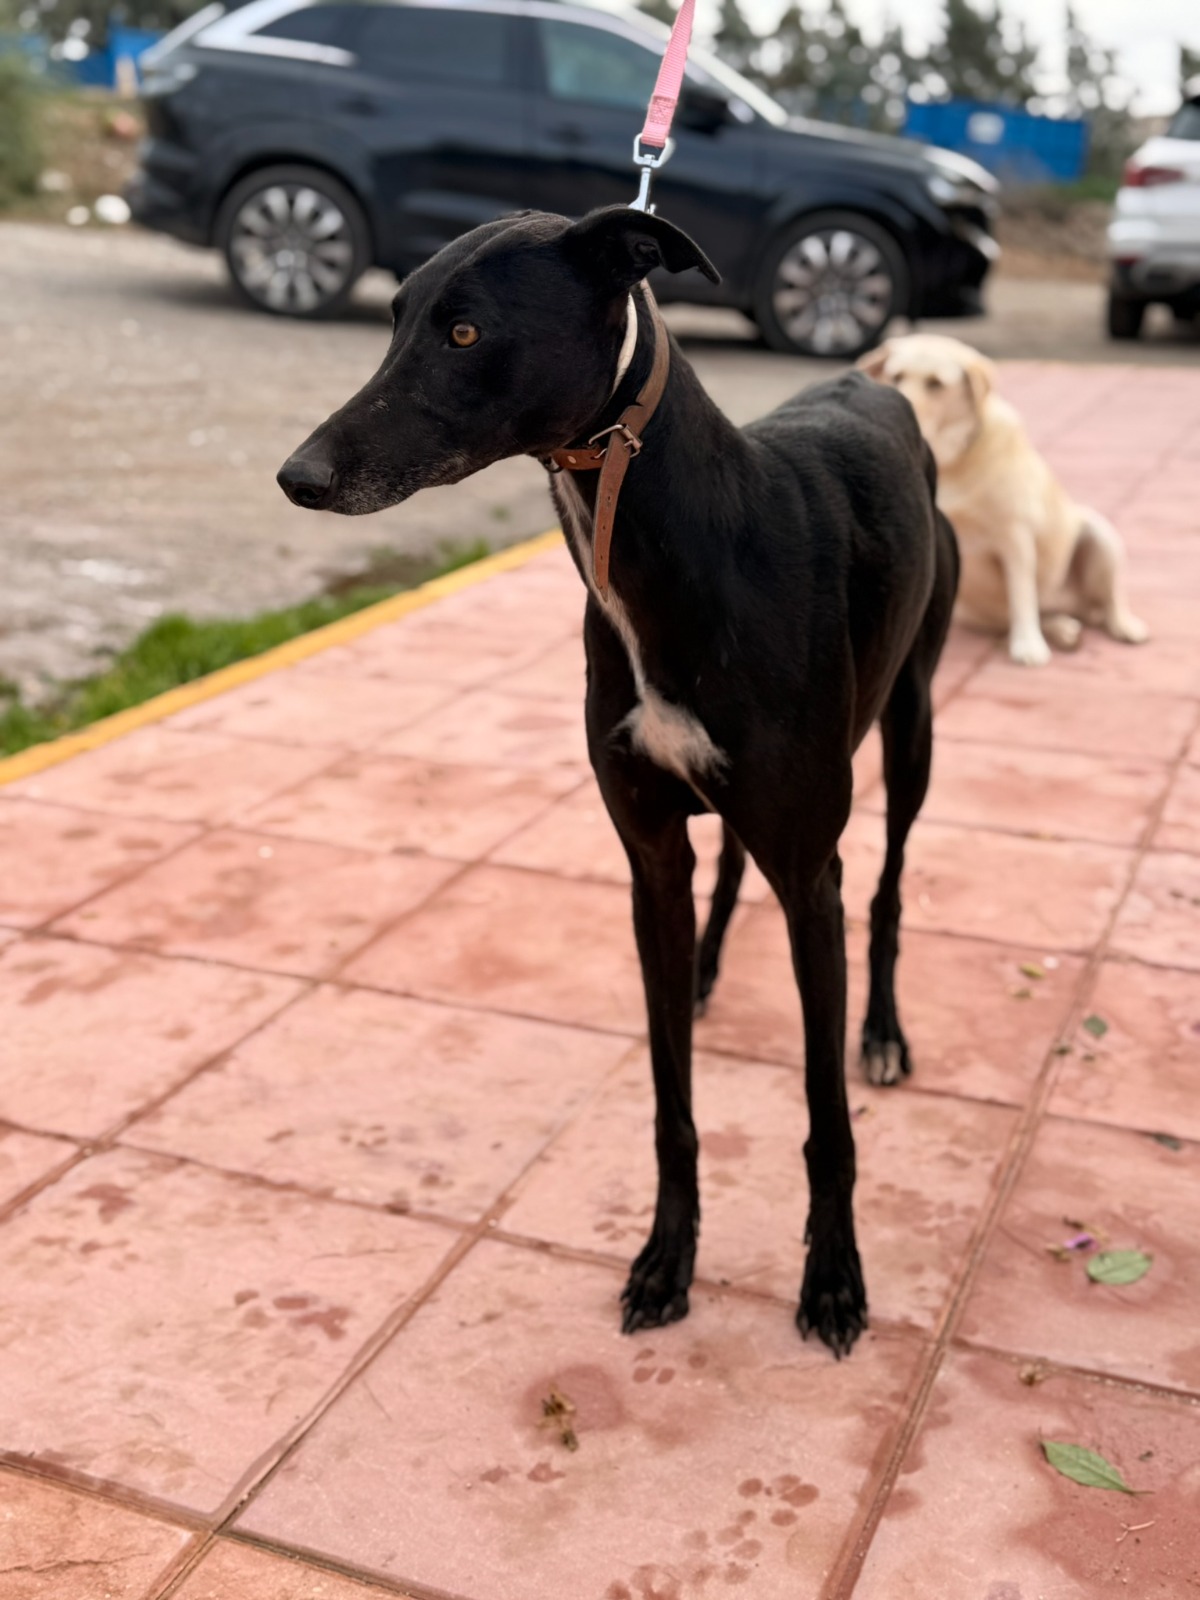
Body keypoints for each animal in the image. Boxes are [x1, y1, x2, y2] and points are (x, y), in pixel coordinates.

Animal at [278, 206, 958, 1357]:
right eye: (395, 316)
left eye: (466, 332)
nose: (299, 476)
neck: (688, 543)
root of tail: (874, 384)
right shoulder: (649, 858)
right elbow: (669, 1098)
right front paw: (666, 1258)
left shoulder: (808, 864)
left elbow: (824, 1115)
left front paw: (832, 1279)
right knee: (732, 870)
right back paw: (711, 972)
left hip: (910, 730)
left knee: (888, 887)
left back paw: (883, 1031)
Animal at [858, 333, 1148, 666]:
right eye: (896, 376)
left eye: (936, 384)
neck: (951, 461)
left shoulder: (1016, 536)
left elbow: (1021, 595)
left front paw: (1028, 646)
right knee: (1039, 616)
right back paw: (1063, 629)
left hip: (1099, 534)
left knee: (1107, 600)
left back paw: (1122, 626)